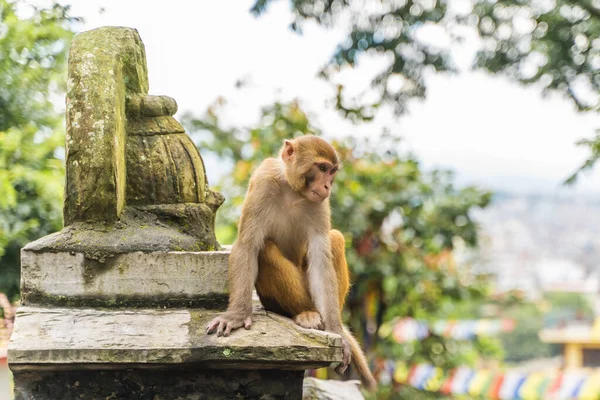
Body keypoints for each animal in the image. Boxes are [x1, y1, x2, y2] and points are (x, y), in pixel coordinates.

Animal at [204, 134, 378, 390]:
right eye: (322, 168)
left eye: (332, 172)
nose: (327, 186)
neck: (292, 190)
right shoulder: (263, 182)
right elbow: (248, 245)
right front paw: (236, 315)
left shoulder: (320, 204)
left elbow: (320, 258)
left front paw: (337, 333)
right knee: (265, 249)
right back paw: (305, 314)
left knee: (335, 239)